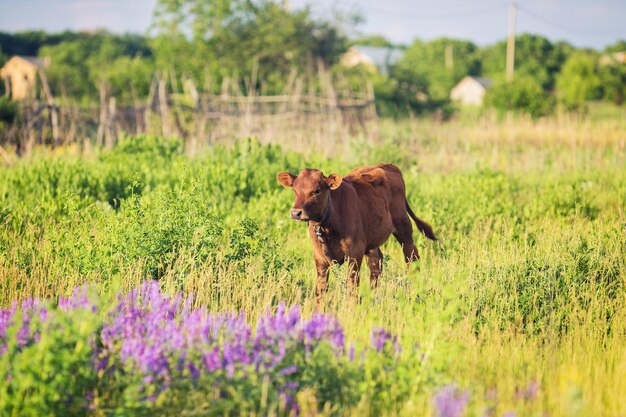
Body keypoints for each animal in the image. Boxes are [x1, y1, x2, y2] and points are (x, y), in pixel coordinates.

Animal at [278, 162, 434, 306]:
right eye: (294, 190)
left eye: (317, 190)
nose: (296, 213)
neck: (329, 227)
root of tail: (389, 165)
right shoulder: (320, 257)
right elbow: (321, 288)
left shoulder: (355, 252)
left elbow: (352, 283)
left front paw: (351, 307)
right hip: (372, 239)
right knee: (376, 264)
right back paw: (373, 295)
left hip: (403, 226)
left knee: (411, 255)